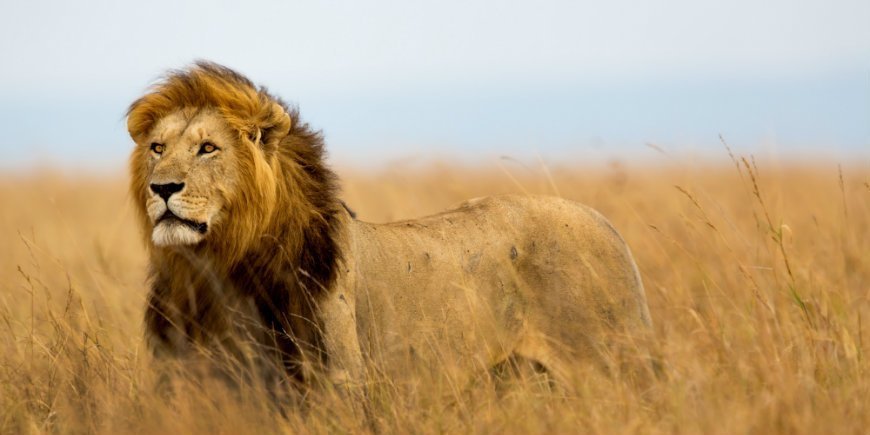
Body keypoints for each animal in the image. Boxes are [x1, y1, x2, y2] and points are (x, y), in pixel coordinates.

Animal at [127, 62, 654, 400]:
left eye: (208, 148)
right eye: (157, 148)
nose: (162, 188)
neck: (216, 267)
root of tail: (606, 223)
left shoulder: (336, 383)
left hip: (612, 365)